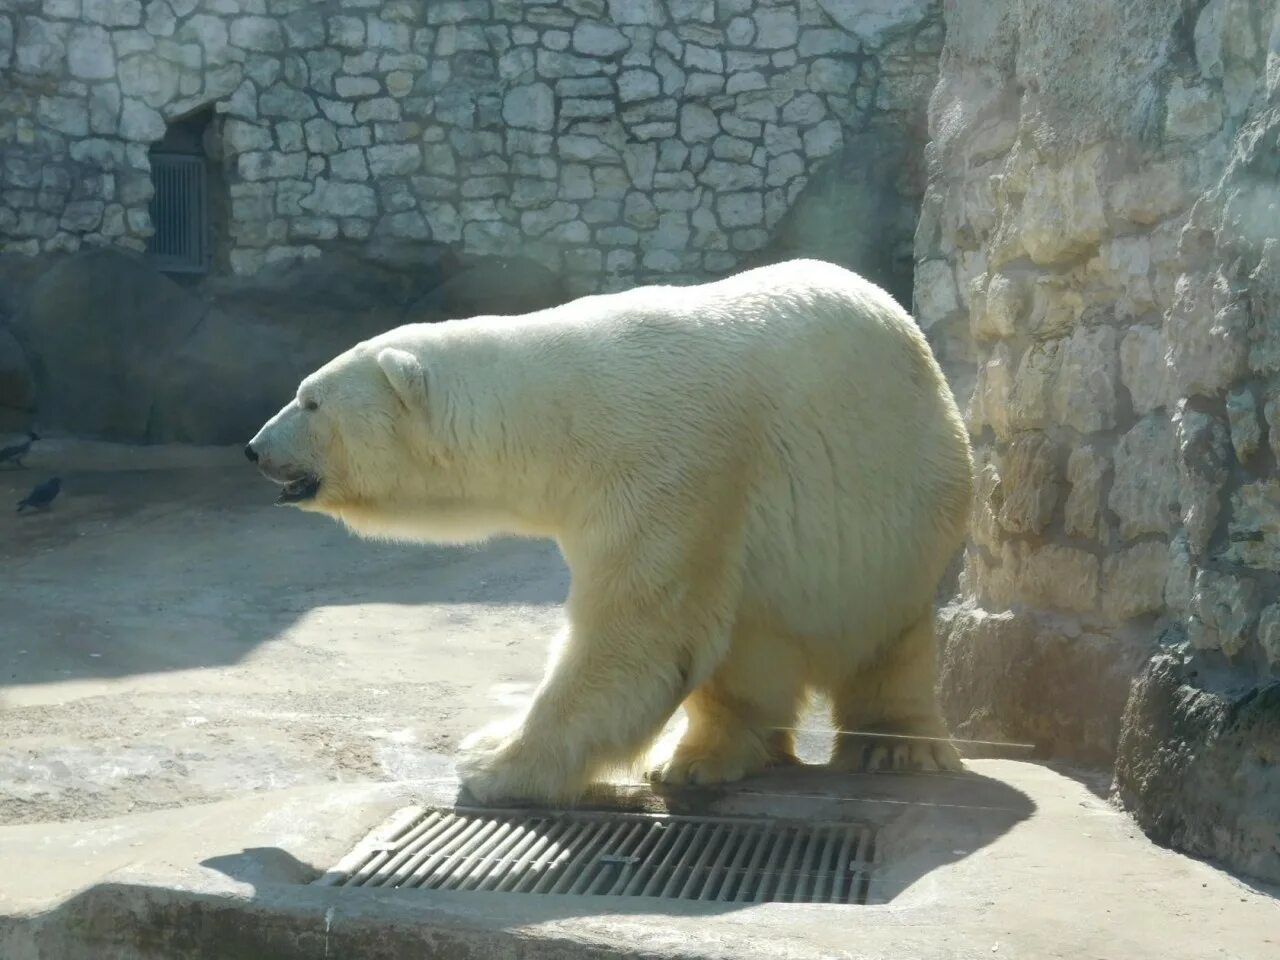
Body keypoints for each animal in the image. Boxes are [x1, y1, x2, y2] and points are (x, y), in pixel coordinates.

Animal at [247, 257, 967, 803]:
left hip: (896, 511)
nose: (254, 449)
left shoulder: (668, 459)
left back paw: (893, 750)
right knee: (748, 650)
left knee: (885, 639)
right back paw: (700, 758)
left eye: (310, 400)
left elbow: (636, 631)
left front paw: (491, 761)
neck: (556, 414)